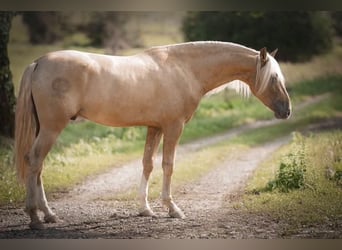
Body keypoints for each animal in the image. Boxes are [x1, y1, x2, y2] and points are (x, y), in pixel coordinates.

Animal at [14, 40, 290, 229]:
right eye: (273, 78)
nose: (287, 110)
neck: (184, 69)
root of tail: (39, 62)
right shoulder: (173, 127)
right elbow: (168, 165)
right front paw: (172, 209)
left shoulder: (154, 127)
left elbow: (148, 164)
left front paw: (145, 209)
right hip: (52, 128)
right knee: (34, 161)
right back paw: (35, 217)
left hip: (43, 128)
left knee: (38, 166)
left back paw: (49, 215)